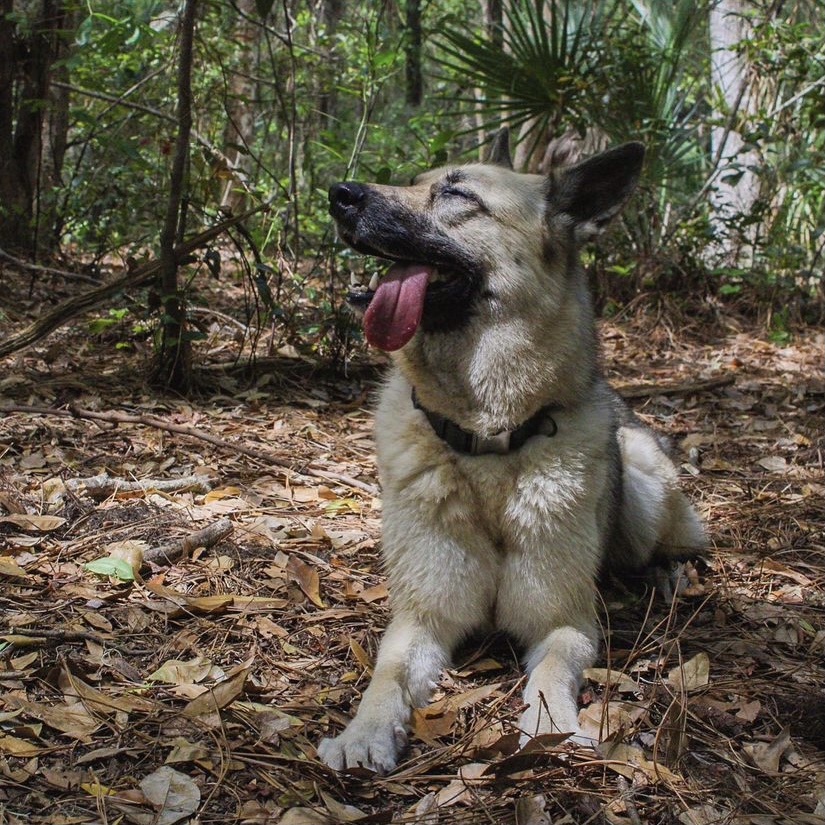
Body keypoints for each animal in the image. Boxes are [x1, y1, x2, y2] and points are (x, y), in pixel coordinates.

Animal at [318, 129, 704, 772]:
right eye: (417, 180)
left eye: (457, 194)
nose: (338, 194)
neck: (488, 443)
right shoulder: (420, 618)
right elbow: (387, 675)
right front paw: (363, 732)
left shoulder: (566, 624)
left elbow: (548, 674)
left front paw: (550, 729)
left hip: (643, 482)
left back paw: (668, 573)